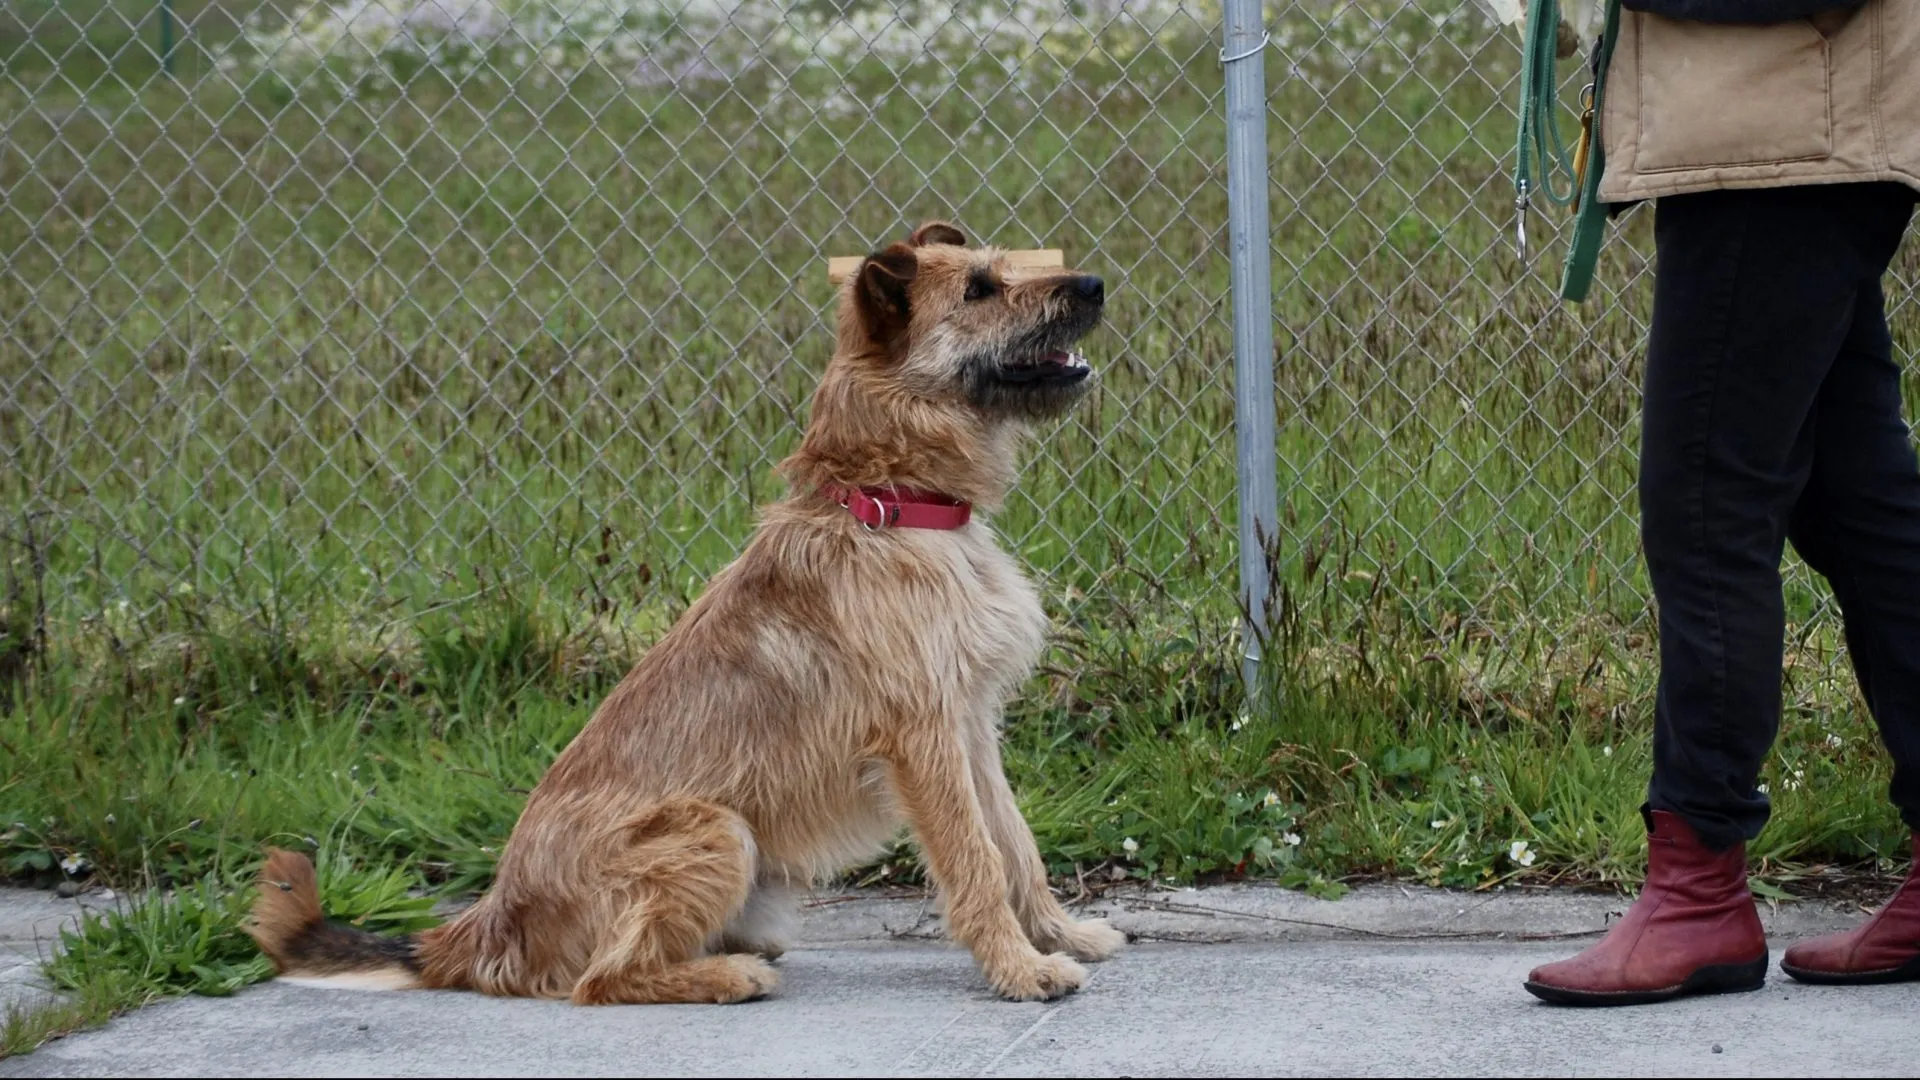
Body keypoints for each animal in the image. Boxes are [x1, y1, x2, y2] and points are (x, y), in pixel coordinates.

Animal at [251, 219, 1121, 999]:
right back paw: (728, 977)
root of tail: (486, 927)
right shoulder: (923, 738)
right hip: (714, 828)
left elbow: (1014, 842)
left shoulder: (969, 726)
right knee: (601, 982)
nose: (1093, 284)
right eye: (979, 291)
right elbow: (976, 860)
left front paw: (1060, 933)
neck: (891, 499)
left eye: (1002, 270)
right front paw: (1021, 970)